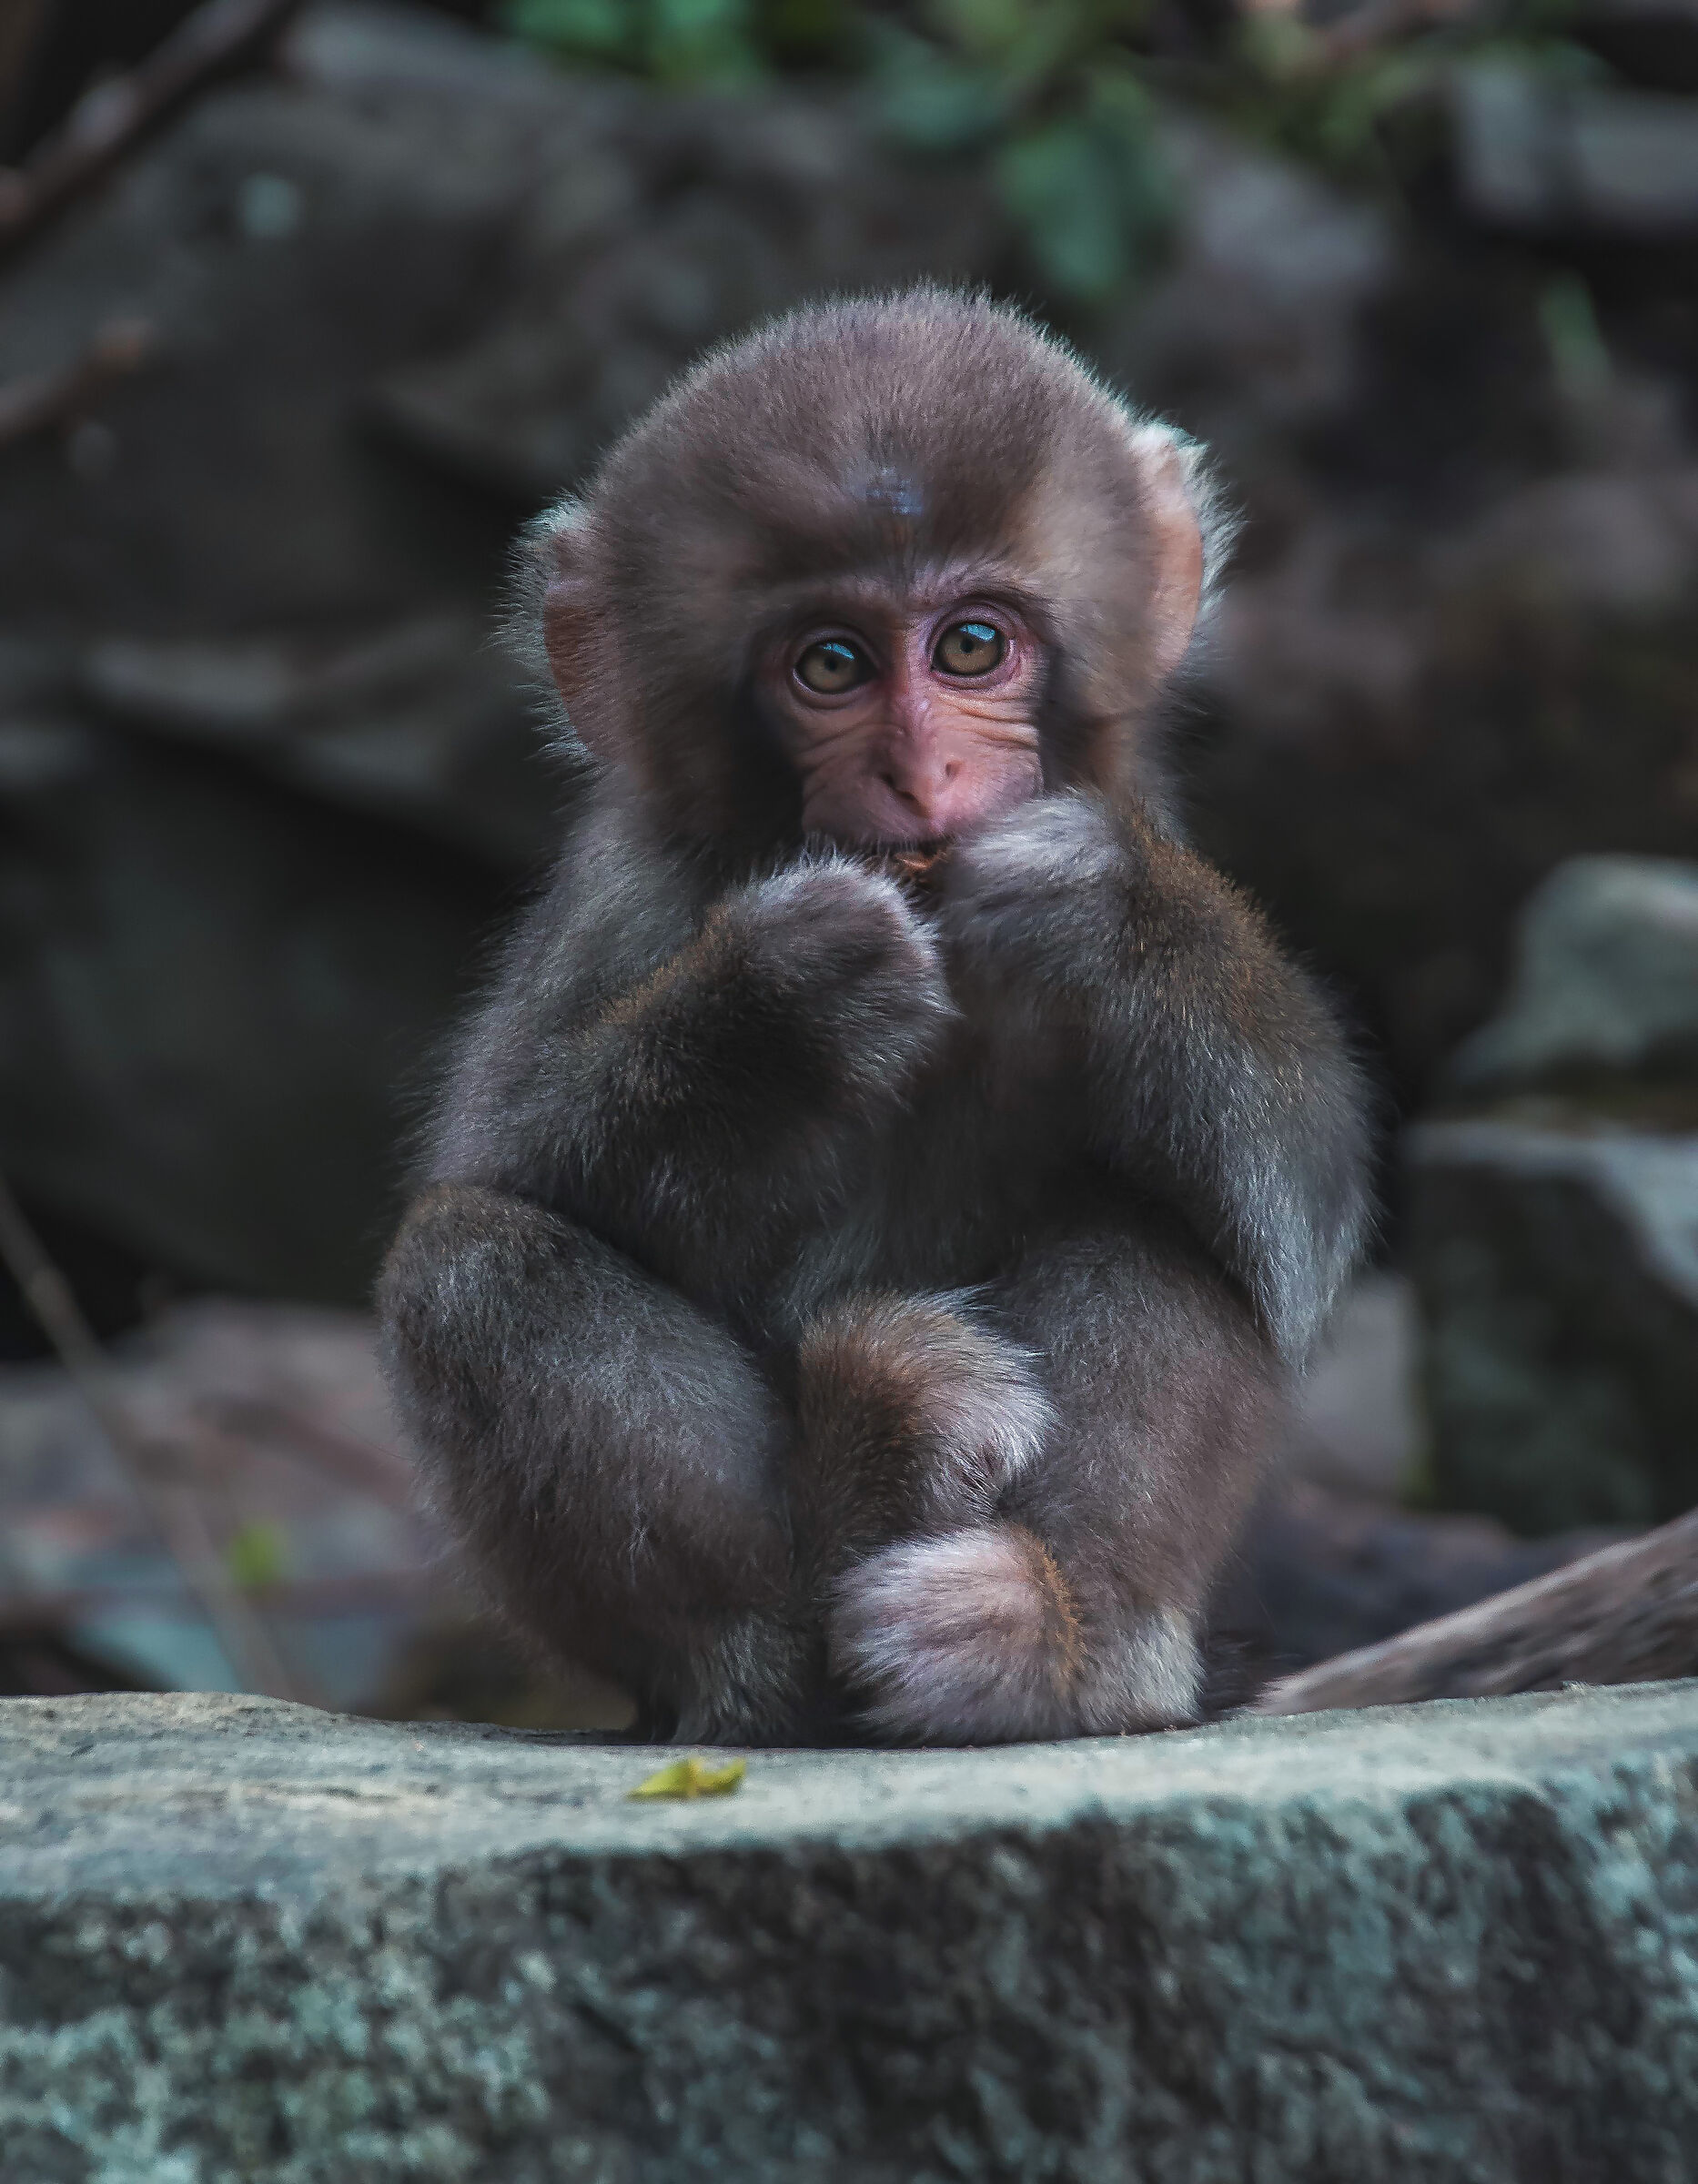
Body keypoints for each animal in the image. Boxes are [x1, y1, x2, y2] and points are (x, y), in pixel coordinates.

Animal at [377, 288, 1369, 1747]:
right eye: (831, 665)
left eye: (972, 646)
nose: (921, 772)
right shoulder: (625, 899)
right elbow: (509, 1163)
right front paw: (783, 1002)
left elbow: (1302, 1204)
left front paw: (1098, 912)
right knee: (469, 1262)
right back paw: (770, 1659)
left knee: (1172, 1220)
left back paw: (1044, 1638)